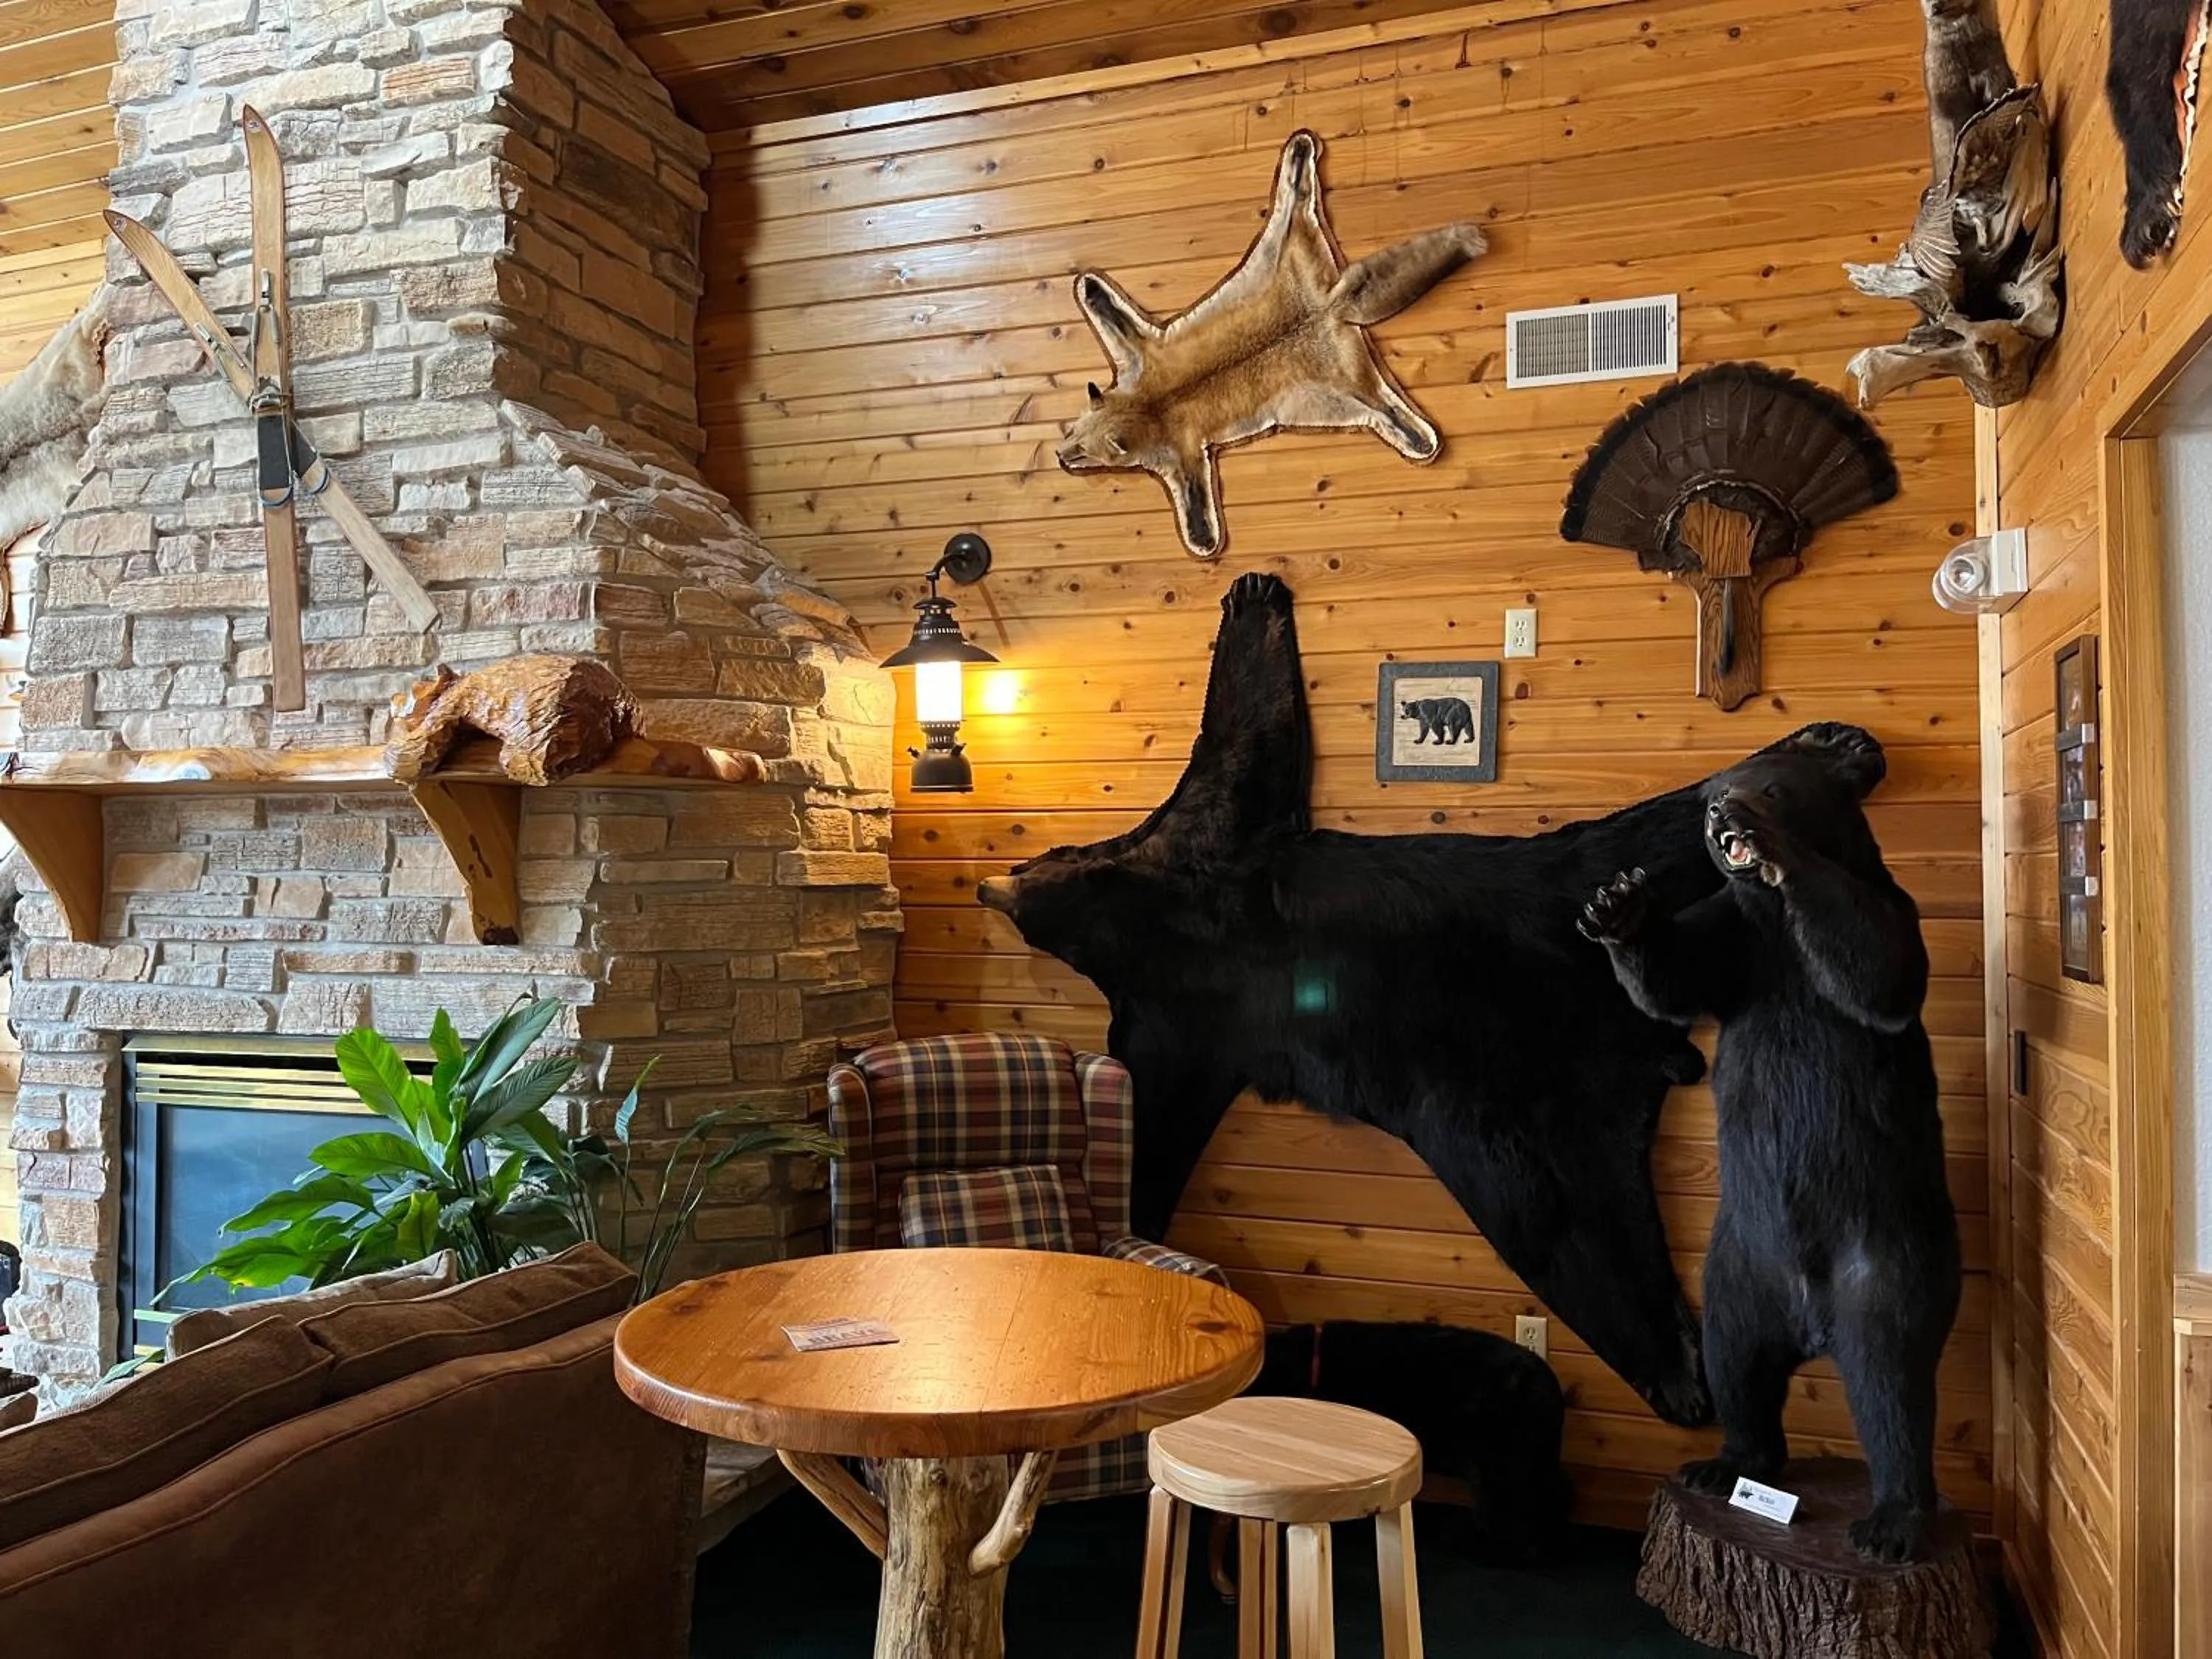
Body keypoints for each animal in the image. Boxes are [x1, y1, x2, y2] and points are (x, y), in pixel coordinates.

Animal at [1577, 726, 1961, 1563]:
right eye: (1719, 784)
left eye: (1773, 785)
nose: (1722, 806)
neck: (1777, 922)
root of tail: (1812, 1319)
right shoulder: (1737, 940)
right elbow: (1674, 980)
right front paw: (1617, 905)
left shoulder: (1886, 910)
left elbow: (1879, 972)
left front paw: (1780, 850)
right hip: (1736, 1269)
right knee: (1738, 1364)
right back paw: (1725, 1463)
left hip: (1887, 1255)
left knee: (1893, 1379)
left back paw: (1893, 1524)